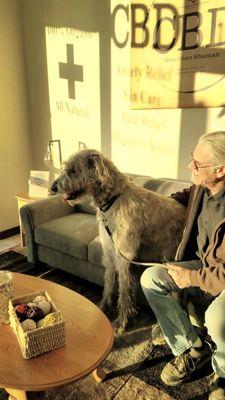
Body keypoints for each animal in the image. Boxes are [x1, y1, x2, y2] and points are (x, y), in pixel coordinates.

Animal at [51, 148, 186, 332]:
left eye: (73, 170)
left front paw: (121, 322)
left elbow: (123, 290)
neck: (113, 199)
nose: (52, 187)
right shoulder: (109, 253)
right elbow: (108, 282)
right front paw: (103, 307)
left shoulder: (124, 257)